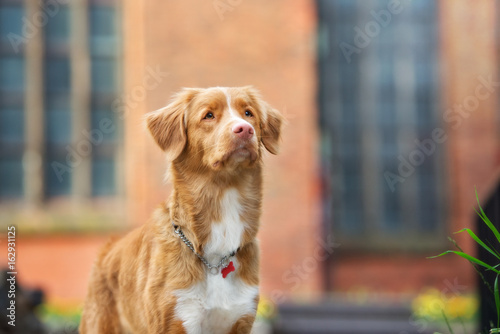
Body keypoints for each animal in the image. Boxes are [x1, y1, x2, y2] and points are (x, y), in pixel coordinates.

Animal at [78, 87, 282, 334]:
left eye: (248, 113)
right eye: (208, 115)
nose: (244, 129)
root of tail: (109, 247)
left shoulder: (240, 318)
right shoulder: (175, 318)